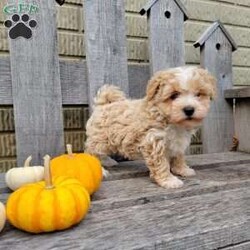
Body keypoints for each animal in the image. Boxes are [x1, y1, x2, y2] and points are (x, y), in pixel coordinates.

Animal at [85, 67, 216, 189]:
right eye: (174, 95)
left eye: (198, 94)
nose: (189, 109)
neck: (171, 121)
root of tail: (103, 105)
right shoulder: (154, 141)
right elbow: (161, 164)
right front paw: (169, 180)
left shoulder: (178, 143)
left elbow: (178, 156)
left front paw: (182, 170)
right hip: (100, 139)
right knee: (92, 152)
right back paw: (100, 169)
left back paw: (108, 162)